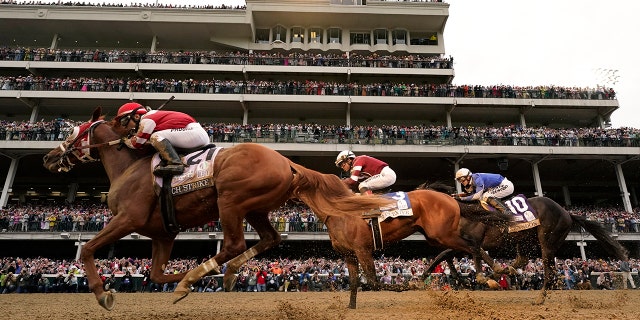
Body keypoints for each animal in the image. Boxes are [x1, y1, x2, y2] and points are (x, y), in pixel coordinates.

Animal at [42, 107, 392, 310]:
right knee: (269, 239)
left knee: (235, 243)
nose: (48, 157)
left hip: (231, 201)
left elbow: (89, 249)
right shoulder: (163, 234)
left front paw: (103, 293)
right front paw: (189, 279)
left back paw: (202, 276)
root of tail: (286, 161)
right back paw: (225, 273)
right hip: (254, 208)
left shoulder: (127, 219)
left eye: (71, 132)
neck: (129, 168)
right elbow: (155, 273)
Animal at [418, 181, 628, 304]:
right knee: (524, 260)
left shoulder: (473, 240)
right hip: (526, 238)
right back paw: (506, 272)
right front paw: (423, 278)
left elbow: (474, 254)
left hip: (547, 240)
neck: (463, 211)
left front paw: (483, 277)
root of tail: (567, 212)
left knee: (550, 271)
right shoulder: (459, 242)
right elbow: (443, 255)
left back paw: (539, 298)